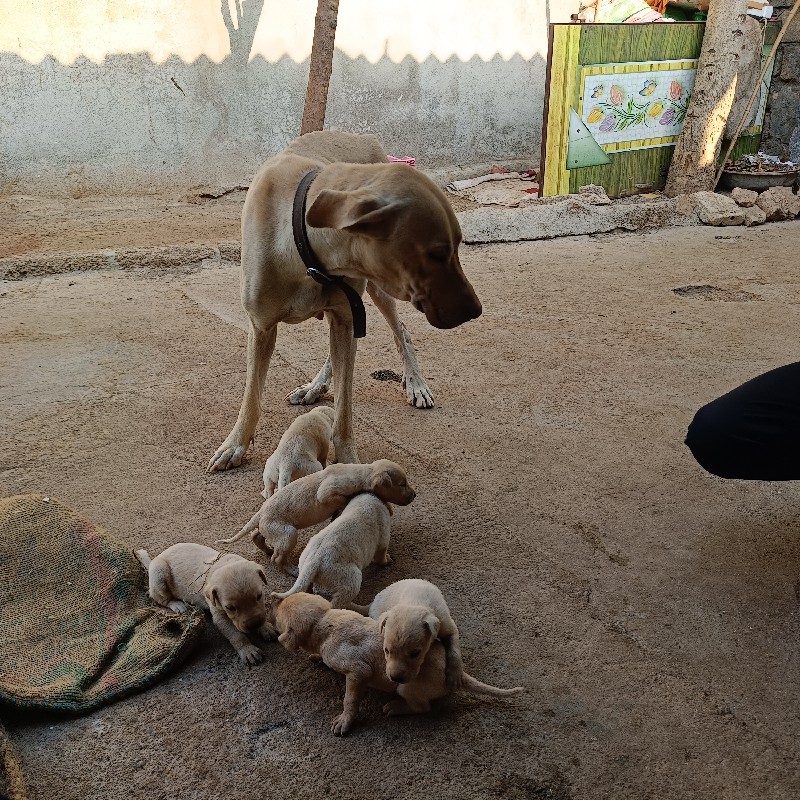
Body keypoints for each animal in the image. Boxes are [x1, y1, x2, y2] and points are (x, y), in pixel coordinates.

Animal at [134, 540, 276, 664]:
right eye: (230, 608)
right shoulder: (219, 615)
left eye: (259, 596)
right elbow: (235, 634)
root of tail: (156, 557)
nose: (254, 624)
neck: (222, 563)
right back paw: (178, 605)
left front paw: (265, 628)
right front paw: (247, 650)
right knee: (160, 599)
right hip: (159, 573)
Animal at [208, 128, 482, 472]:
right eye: (436, 253)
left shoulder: (346, 314)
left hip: (377, 292)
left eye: (457, 245)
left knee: (401, 332)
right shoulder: (261, 328)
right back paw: (315, 387)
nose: (476, 311)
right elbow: (252, 397)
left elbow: (344, 411)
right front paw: (235, 445)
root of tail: (363, 136)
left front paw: (348, 460)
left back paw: (415, 384)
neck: (306, 251)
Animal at [219, 460, 418, 572]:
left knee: (257, 535)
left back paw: (267, 549)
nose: (414, 495)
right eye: (402, 484)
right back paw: (291, 569)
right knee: (277, 558)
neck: (360, 472)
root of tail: (261, 512)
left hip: (271, 528)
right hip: (287, 533)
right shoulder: (328, 492)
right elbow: (340, 498)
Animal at [274, 592, 524, 736]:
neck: (325, 622)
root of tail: (460, 674)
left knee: (423, 708)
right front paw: (317, 658)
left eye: (278, 616)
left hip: (406, 687)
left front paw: (345, 720)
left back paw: (395, 707)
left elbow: (350, 699)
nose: (275, 602)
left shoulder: (357, 671)